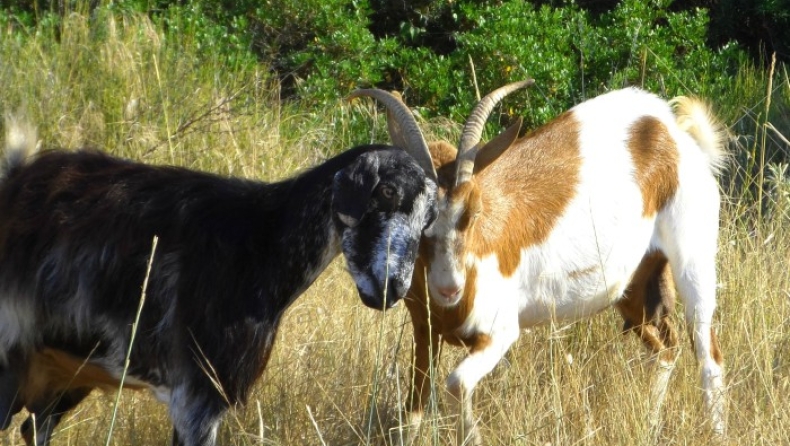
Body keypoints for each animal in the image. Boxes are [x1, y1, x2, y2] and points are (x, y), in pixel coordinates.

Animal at [0, 96, 440, 444]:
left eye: (429, 218)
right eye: (386, 192)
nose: (391, 289)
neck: (259, 240)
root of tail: (15, 178)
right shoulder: (197, 400)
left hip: (61, 373)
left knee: (33, 428)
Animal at [368, 83, 728, 442]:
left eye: (473, 210)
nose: (448, 288)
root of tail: (668, 130)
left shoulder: (499, 332)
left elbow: (457, 384)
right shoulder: (425, 333)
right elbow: (412, 414)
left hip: (693, 264)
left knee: (708, 354)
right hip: (632, 290)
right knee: (665, 349)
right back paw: (649, 427)